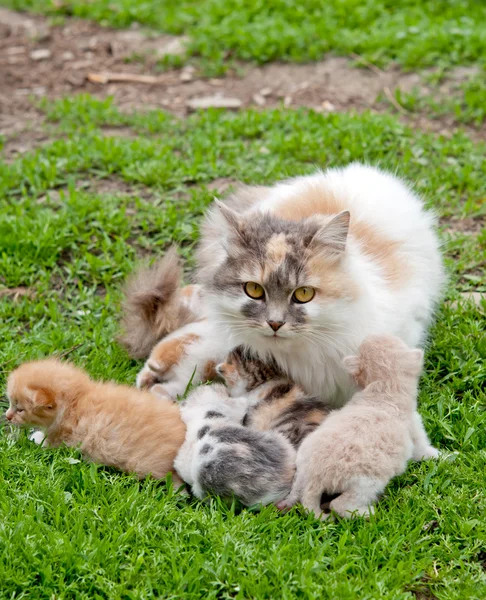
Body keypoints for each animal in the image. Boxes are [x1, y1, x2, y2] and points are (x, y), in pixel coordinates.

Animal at [6, 358, 187, 486]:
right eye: (10, 403)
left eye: (20, 409)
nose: (7, 416)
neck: (75, 402)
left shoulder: (63, 441)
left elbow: (46, 442)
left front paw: (33, 437)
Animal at [278, 332, 440, 520]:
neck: (383, 390)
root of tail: (314, 478)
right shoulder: (415, 428)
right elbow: (424, 449)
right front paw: (445, 456)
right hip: (366, 483)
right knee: (339, 505)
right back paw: (368, 513)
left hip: (301, 470)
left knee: (297, 492)